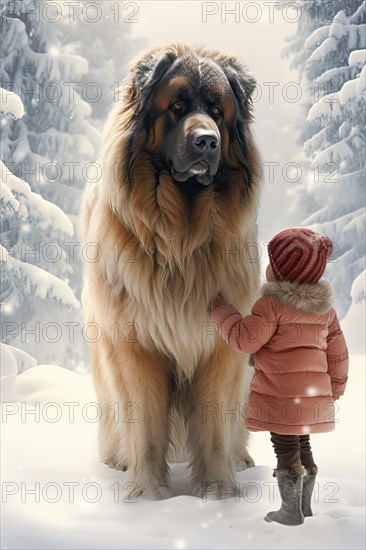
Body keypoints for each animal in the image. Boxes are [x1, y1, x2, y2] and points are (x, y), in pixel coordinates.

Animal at [82, 43, 262, 500]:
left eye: (217, 111)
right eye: (177, 106)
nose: (207, 140)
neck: (180, 239)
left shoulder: (221, 346)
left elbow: (214, 422)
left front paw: (219, 488)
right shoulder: (134, 344)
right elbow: (144, 422)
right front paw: (147, 492)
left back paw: (240, 459)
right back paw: (117, 460)